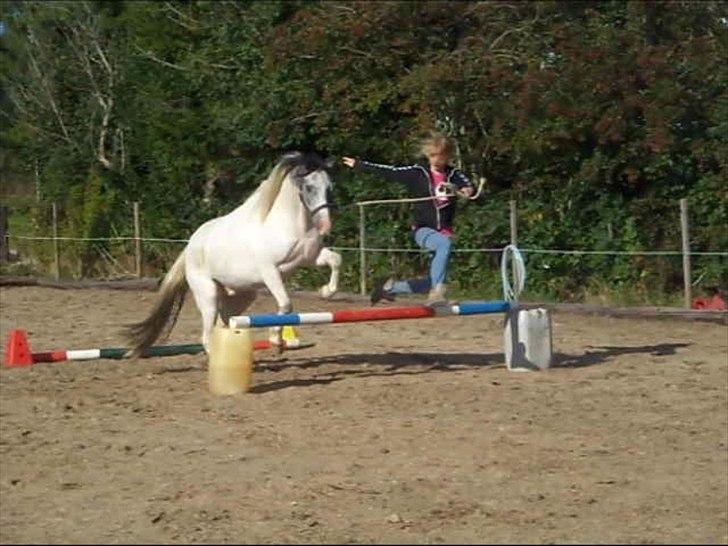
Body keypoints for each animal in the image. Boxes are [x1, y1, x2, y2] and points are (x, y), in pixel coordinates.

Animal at [125, 151, 336, 357]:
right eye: (309, 187)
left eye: (328, 187)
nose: (326, 227)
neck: (290, 224)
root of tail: (191, 245)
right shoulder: (270, 271)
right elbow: (286, 305)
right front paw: (276, 341)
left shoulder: (309, 258)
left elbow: (335, 259)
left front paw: (326, 291)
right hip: (208, 295)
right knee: (207, 336)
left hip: (242, 296)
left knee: (223, 323)